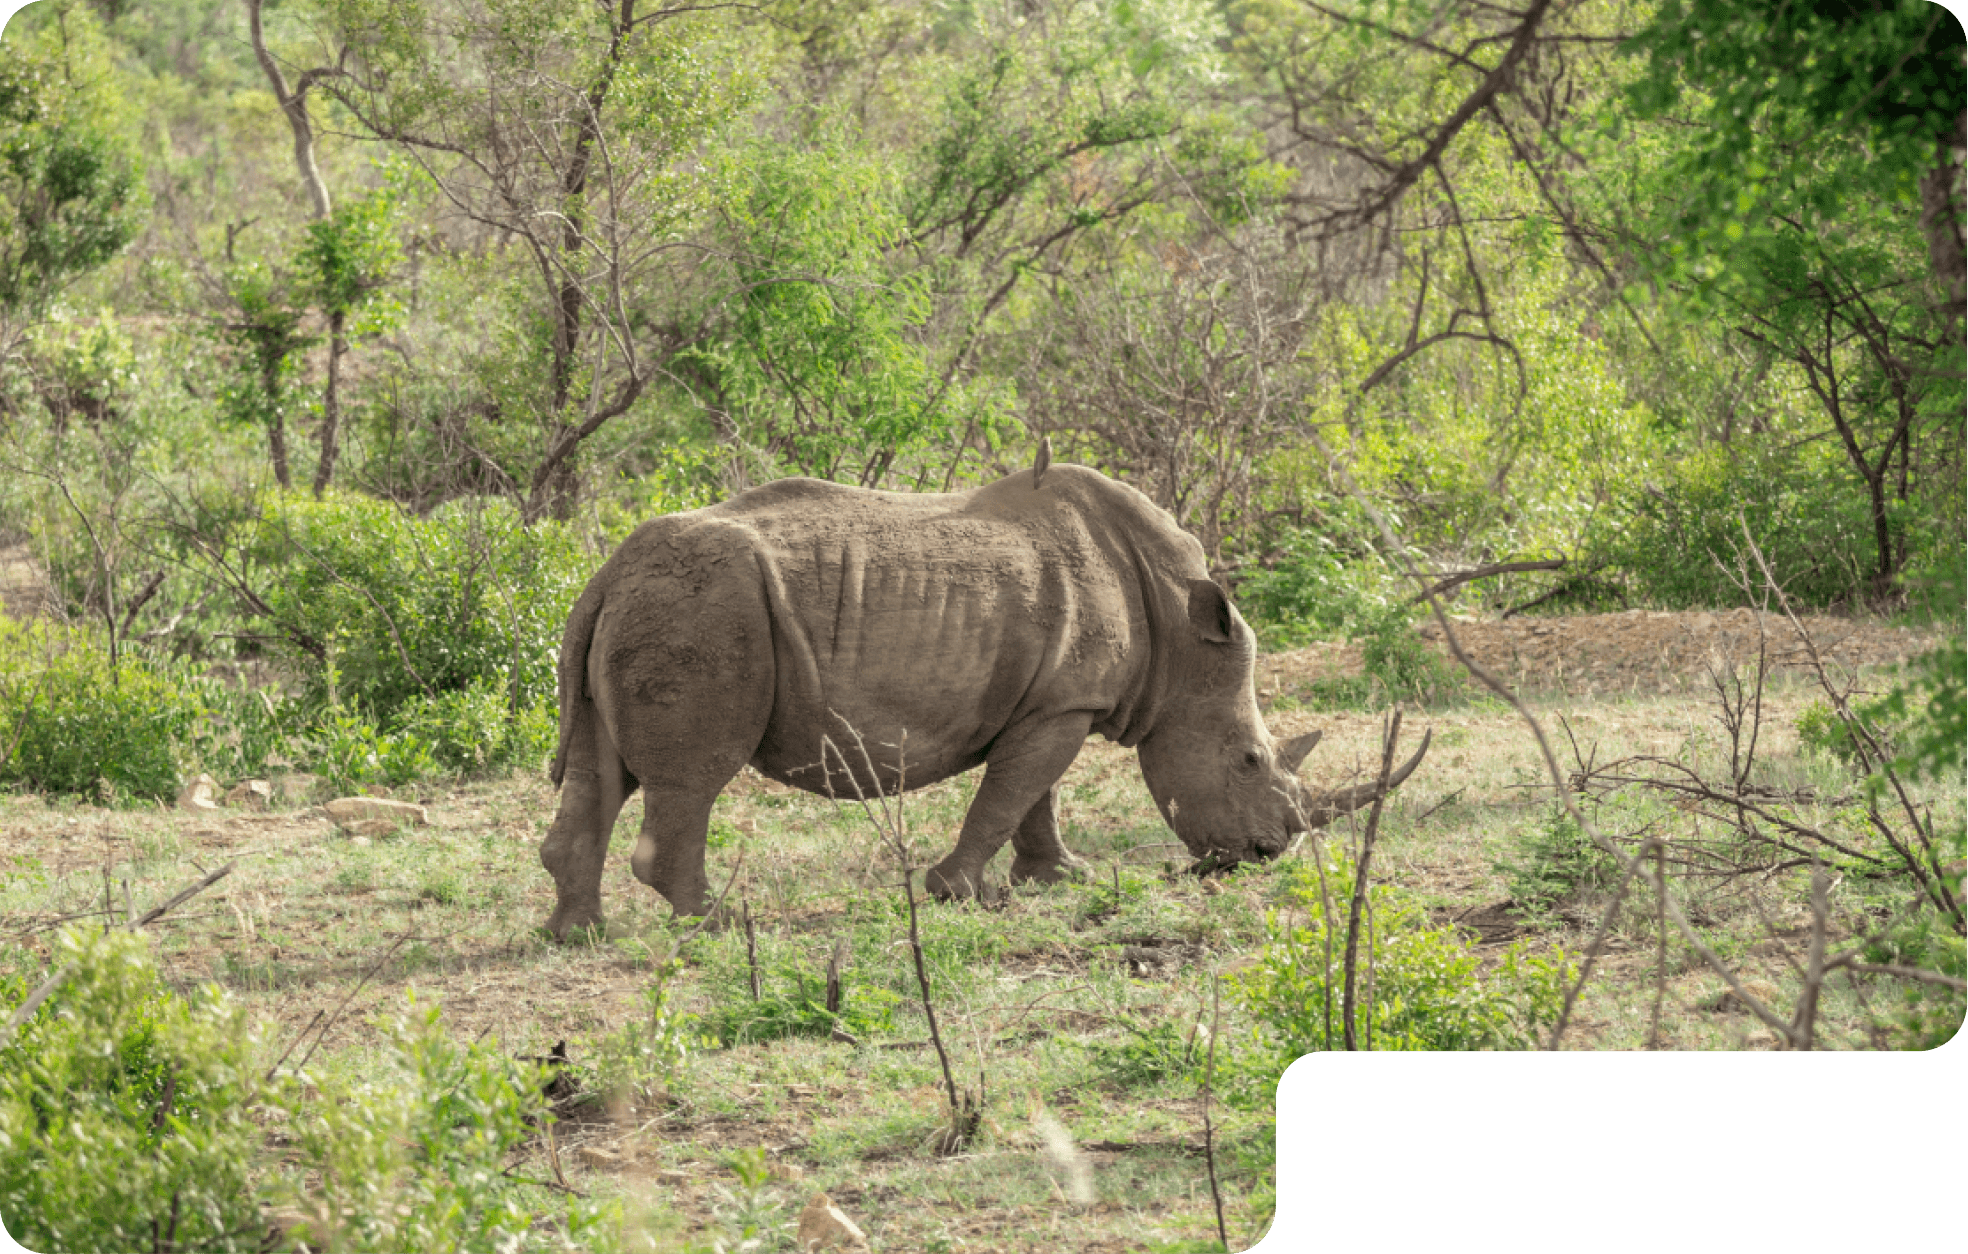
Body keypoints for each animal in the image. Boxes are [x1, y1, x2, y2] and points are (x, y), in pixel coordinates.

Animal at [539, 458, 1428, 937]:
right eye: (1247, 760)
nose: (1262, 855)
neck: (1179, 635)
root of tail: (606, 572)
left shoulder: (1058, 698)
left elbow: (1036, 794)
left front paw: (1059, 878)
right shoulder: (1064, 703)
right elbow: (1011, 793)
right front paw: (958, 892)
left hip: (648, 606)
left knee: (598, 771)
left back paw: (578, 934)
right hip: (705, 609)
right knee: (694, 777)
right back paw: (718, 921)